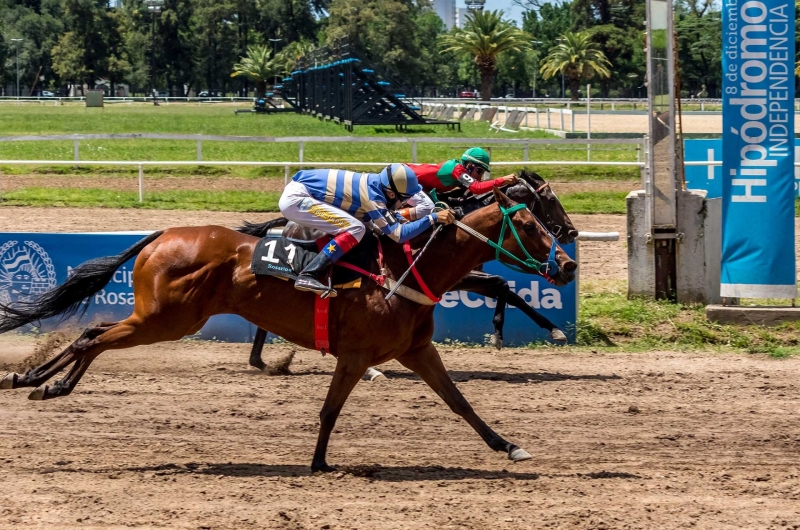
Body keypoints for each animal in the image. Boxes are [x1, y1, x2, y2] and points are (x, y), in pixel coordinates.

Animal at [247, 171, 580, 370]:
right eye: (550, 199)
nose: (571, 232)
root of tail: (289, 223)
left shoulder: (457, 277)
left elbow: (504, 288)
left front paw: (540, 329)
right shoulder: (452, 277)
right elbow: (503, 284)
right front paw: (512, 332)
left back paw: (264, 362)